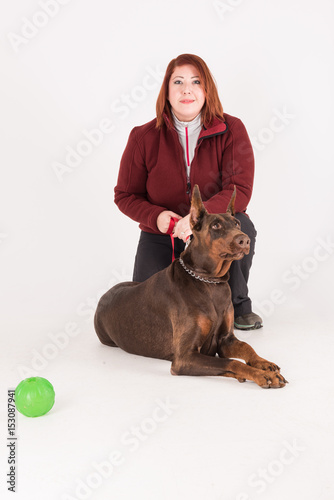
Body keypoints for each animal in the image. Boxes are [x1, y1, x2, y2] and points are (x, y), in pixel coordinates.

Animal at [94, 186, 288, 388]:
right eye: (215, 226)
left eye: (237, 224)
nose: (244, 240)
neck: (209, 281)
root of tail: (103, 296)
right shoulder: (184, 357)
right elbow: (231, 362)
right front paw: (262, 375)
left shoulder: (226, 339)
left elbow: (246, 346)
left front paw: (264, 363)